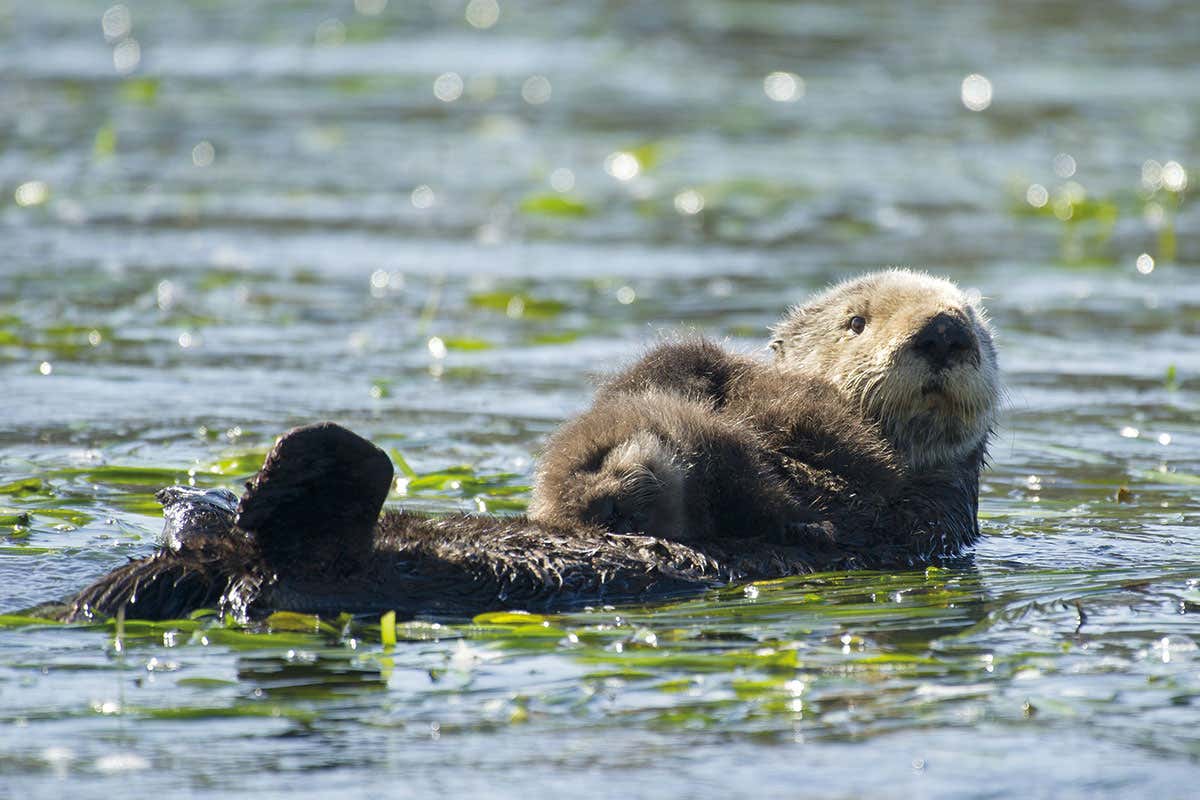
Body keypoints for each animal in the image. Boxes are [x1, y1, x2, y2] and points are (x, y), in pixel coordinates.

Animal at [42, 269, 998, 622]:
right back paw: (195, 500)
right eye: (857, 320)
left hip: (323, 568)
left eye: (979, 329)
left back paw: (305, 466)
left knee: (305, 546)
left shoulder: (899, 510)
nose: (948, 331)